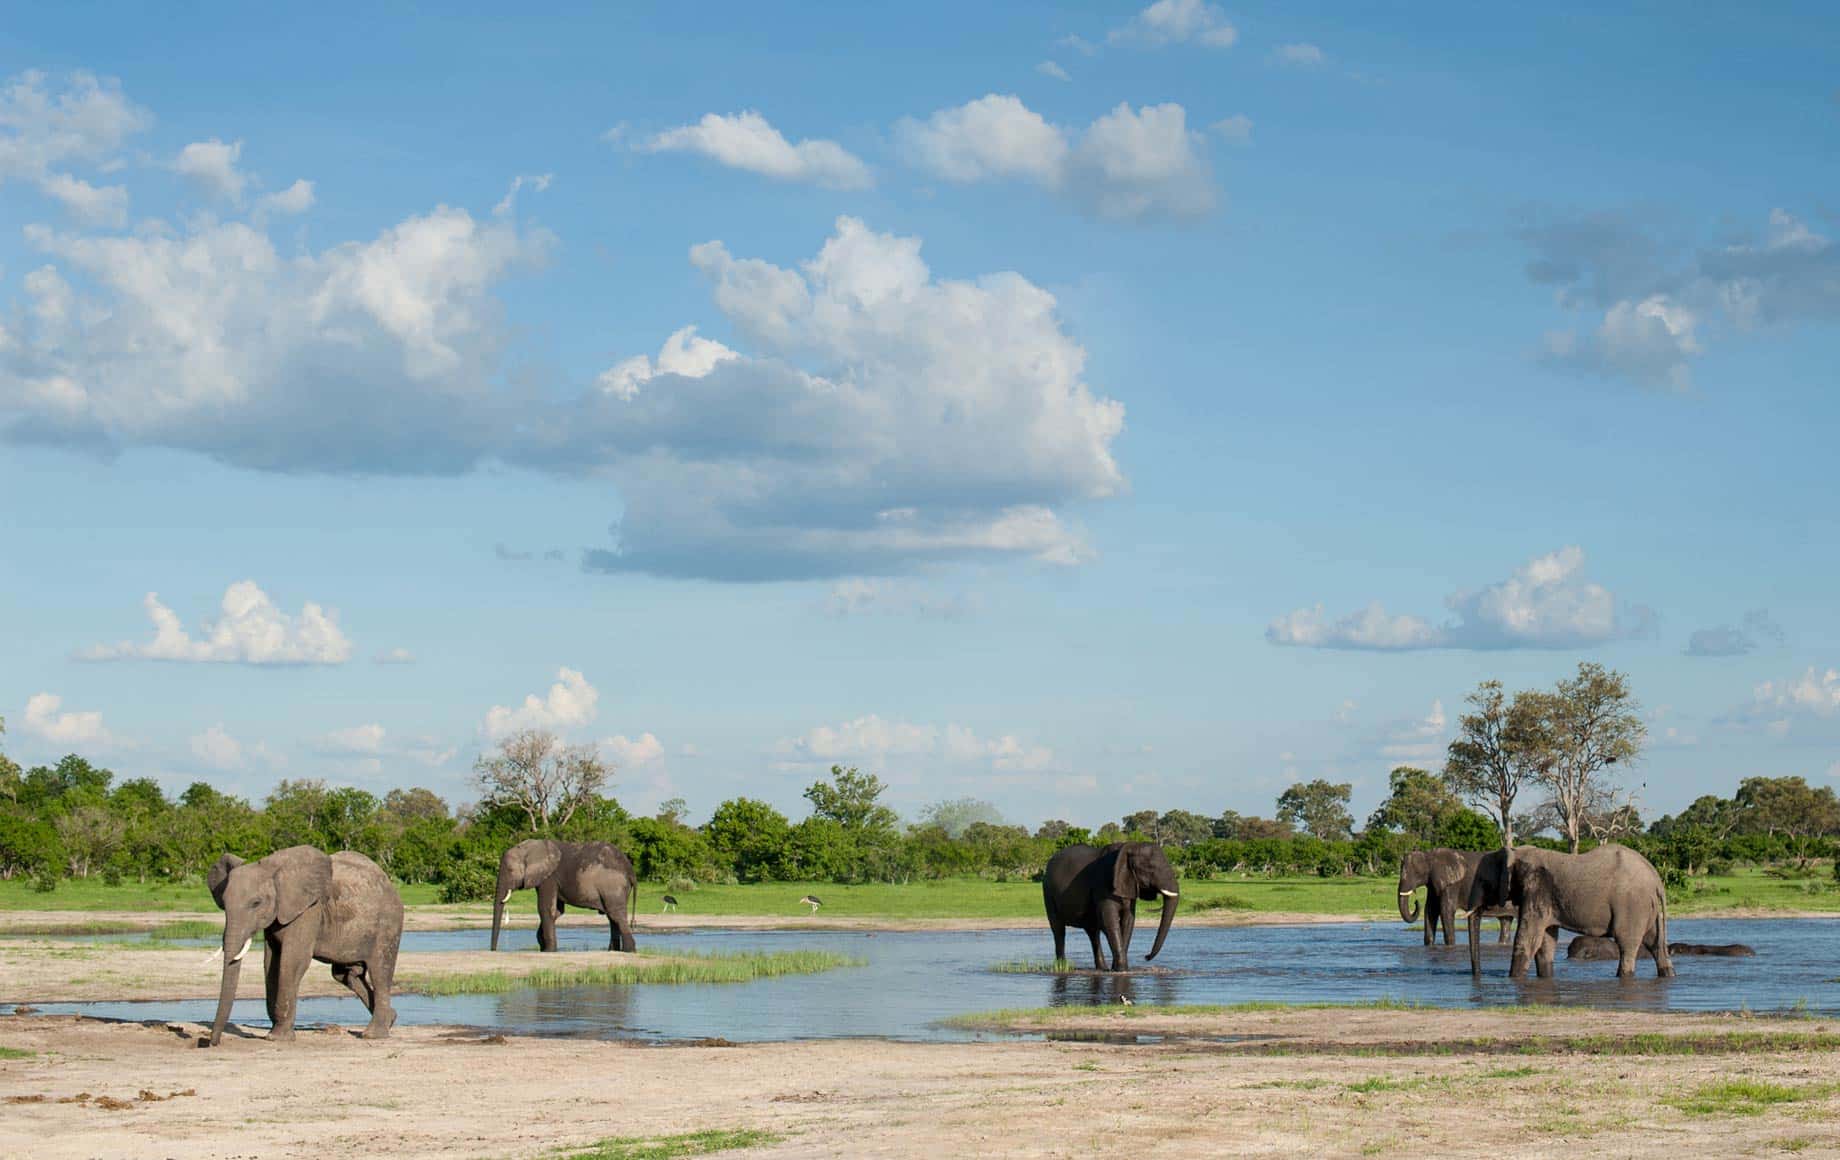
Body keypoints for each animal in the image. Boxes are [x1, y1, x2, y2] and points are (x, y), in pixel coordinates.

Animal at [203, 846, 401, 1053]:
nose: (212, 1043)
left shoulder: (308, 910)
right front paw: (275, 1032)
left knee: (380, 973)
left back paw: (373, 1034)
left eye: (256, 903)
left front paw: (277, 1038)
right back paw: (390, 1018)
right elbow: (271, 963)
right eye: (224, 903)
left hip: (388, 925)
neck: (273, 871)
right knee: (346, 976)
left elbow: (292, 960)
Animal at [489, 846, 640, 957]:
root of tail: (630, 870)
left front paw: (548, 951)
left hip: (613, 887)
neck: (529, 848)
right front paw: (543, 944)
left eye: (510, 870)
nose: (493, 950)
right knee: (612, 917)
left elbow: (545, 908)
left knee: (615, 915)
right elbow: (557, 911)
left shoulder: (549, 878)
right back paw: (613, 951)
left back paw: (628, 951)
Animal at [1045, 846, 1184, 972]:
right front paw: (1121, 970)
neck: (1129, 847)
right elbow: (1110, 921)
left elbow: (1128, 921)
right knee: (1059, 930)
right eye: (1150, 868)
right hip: (1048, 893)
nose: (1146, 957)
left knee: (1093, 933)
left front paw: (1119, 969)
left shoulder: (1128, 884)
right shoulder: (1104, 885)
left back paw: (1102, 968)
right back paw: (1062, 967)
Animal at [1472, 846, 1678, 979]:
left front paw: (1514, 979)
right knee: (1654, 942)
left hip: (1632, 905)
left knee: (1627, 943)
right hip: (1646, 908)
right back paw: (1668, 975)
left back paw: (1623, 977)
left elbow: (1528, 938)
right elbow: (1546, 940)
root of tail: (1656, 879)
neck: (1515, 852)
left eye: (1483, 881)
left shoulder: (1536, 889)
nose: (1477, 974)